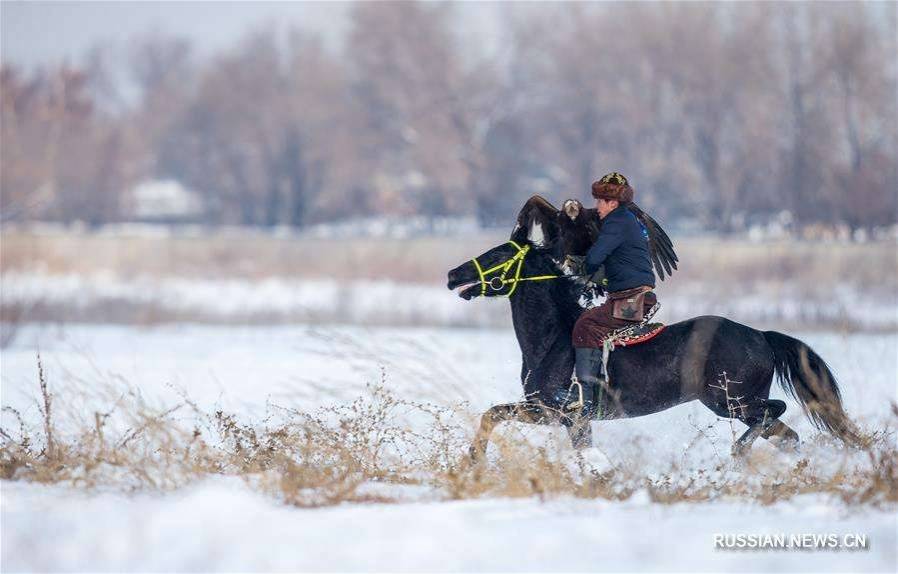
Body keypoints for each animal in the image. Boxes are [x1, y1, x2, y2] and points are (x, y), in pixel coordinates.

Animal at [444, 197, 856, 460]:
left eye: (498, 255)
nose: (452, 275)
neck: (550, 341)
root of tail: (761, 336)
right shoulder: (552, 414)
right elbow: (494, 414)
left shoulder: (563, 413)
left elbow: (495, 416)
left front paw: (474, 458)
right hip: (738, 406)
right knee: (787, 433)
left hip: (731, 402)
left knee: (776, 411)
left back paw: (738, 452)